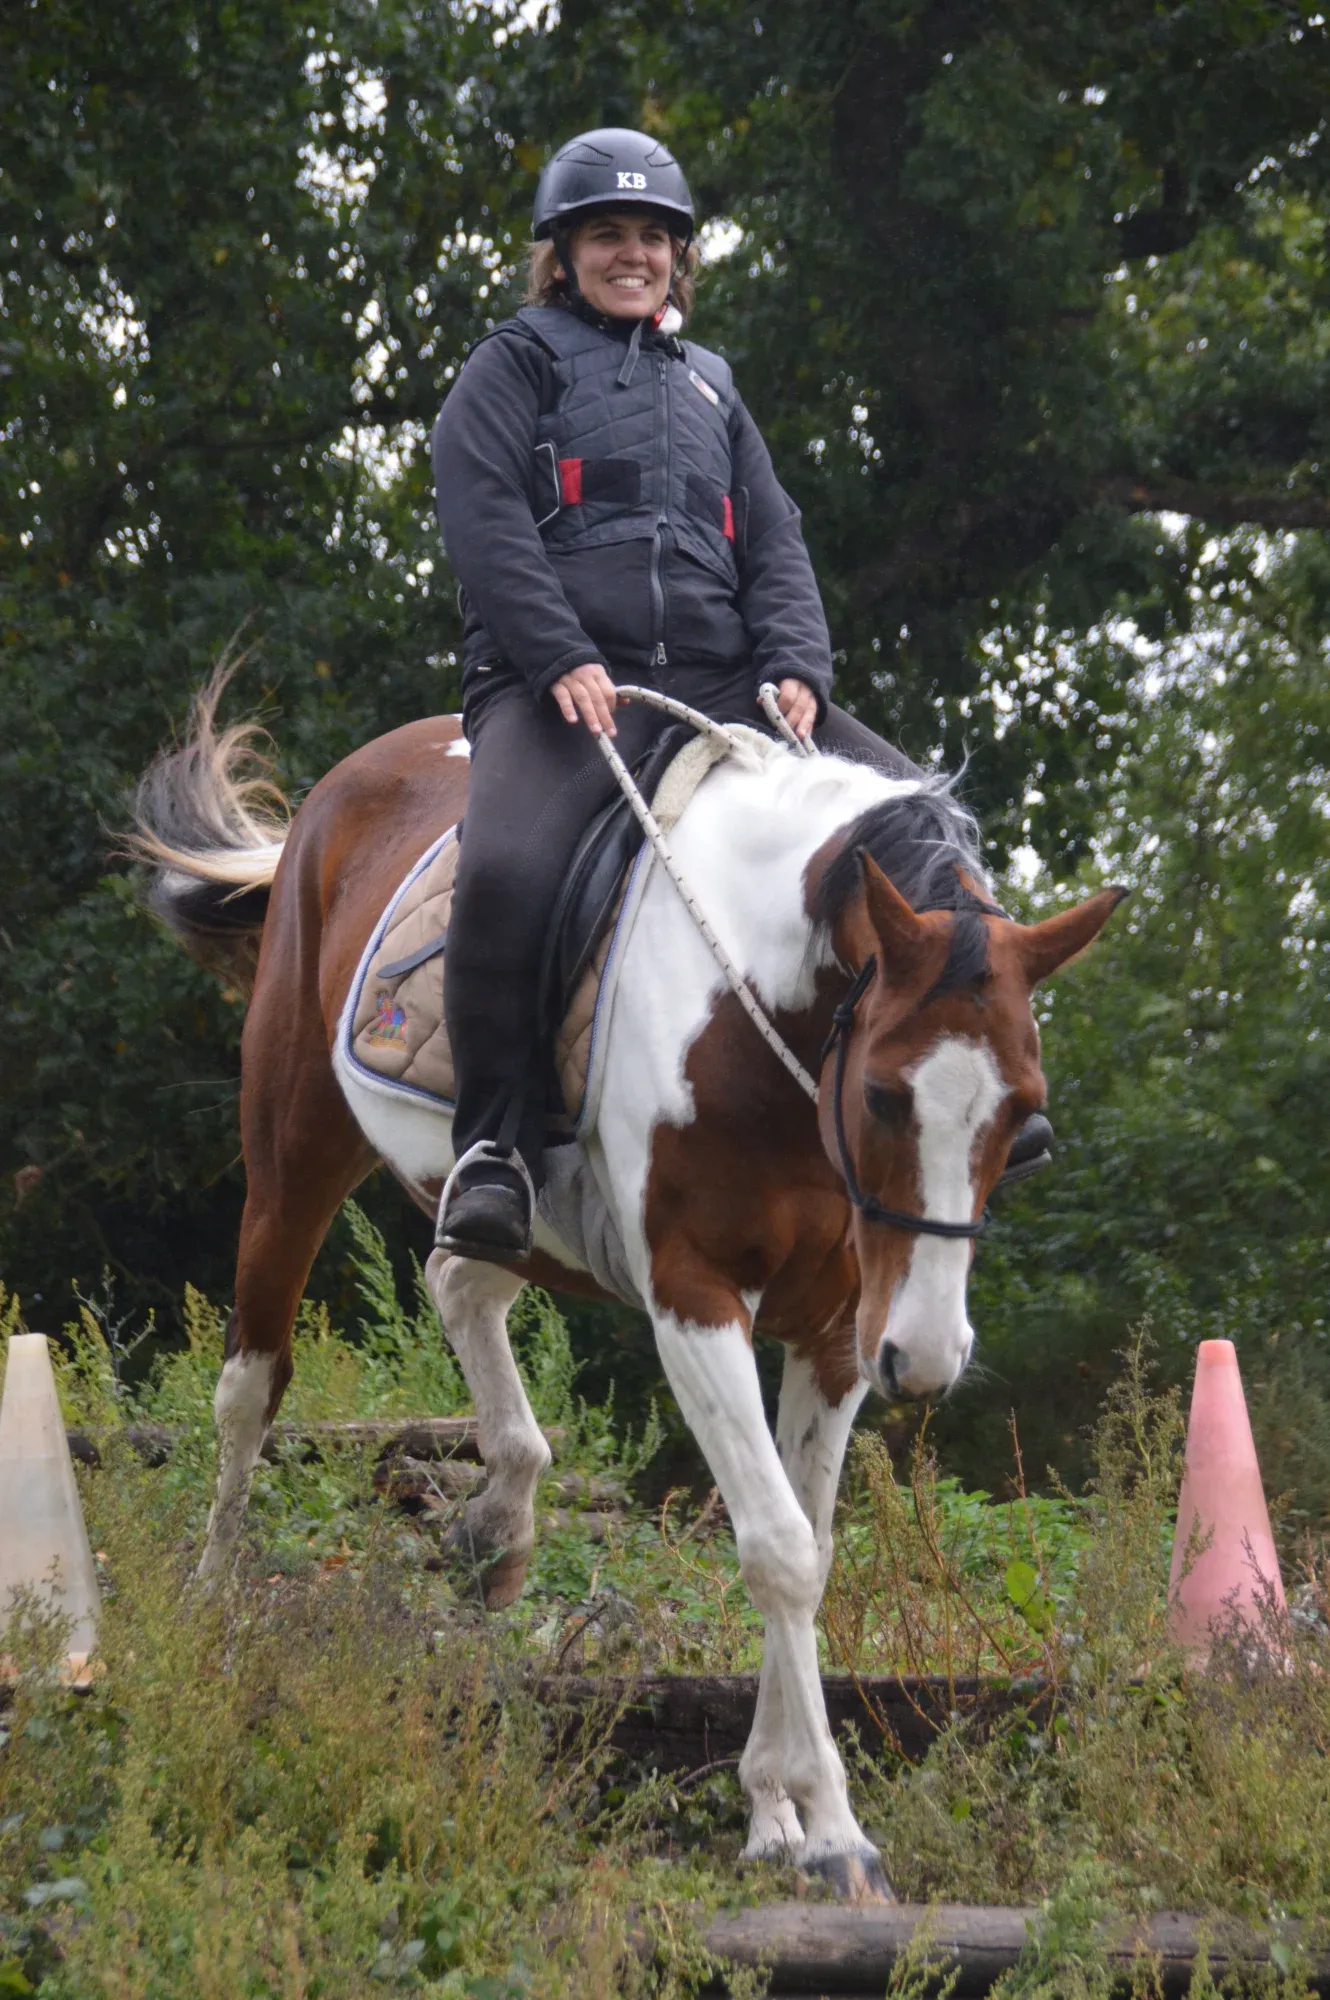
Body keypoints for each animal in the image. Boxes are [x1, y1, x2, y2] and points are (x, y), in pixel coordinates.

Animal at [130, 672, 1122, 1901]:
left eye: (1023, 1117)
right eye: (886, 1094)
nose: (928, 1363)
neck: (758, 1016)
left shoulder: (838, 1332)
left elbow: (808, 1547)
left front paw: (775, 1812)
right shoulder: (695, 1301)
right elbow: (778, 1548)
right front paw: (833, 1830)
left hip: (514, 1207)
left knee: (461, 1275)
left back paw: (499, 1516)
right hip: (292, 1146)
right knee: (249, 1388)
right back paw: (213, 1609)